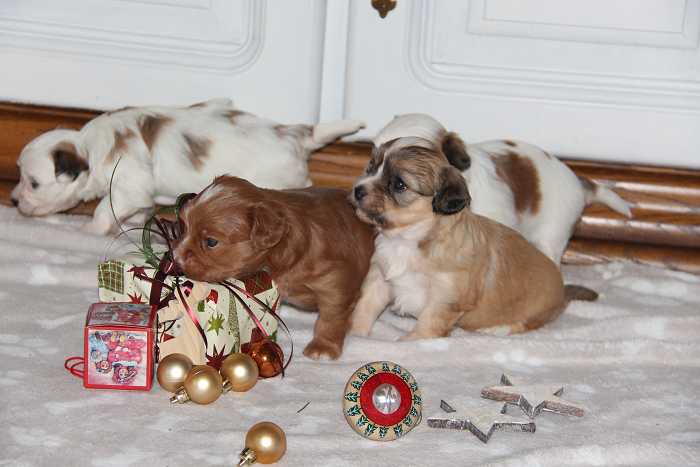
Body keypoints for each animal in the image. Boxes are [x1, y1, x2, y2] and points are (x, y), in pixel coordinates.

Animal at [11, 98, 364, 235]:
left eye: (34, 182)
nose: (13, 200)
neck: (89, 146)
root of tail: (295, 134)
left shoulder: (126, 185)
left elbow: (102, 210)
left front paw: (90, 230)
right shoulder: (139, 194)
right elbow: (137, 211)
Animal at [173, 175, 375, 360]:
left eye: (211, 242)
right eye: (184, 226)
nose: (175, 258)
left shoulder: (336, 284)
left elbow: (331, 318)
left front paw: (323, 347)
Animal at [349, 137, 597, 340]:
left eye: (399, 184)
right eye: (370, 168)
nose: (358, 190)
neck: (406, 240)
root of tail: (562, 291)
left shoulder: (446, 298)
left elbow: (427, 326)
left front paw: (408, 344)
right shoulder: (379, 278)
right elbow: (365, 308)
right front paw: (356, 336)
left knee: (527, 324)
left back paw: (498, 329)